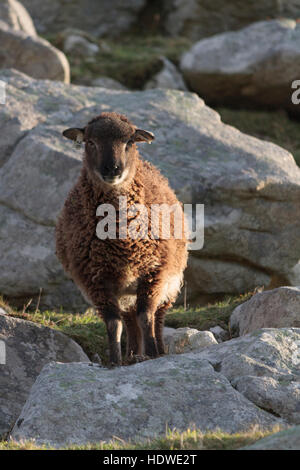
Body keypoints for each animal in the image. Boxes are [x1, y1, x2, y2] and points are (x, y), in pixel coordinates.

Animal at [55, 112, 188, 366]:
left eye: (129, 142)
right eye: (91, 142)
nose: (112, 169)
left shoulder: (154, 273)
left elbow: (147, 317)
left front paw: (153, 354)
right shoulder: (96, 282)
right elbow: (113, 324)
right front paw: (115, 361)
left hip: (170, 281)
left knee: (157, 317)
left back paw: (158, 349)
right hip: (124, 290)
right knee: (129, 321)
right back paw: (132, 354)